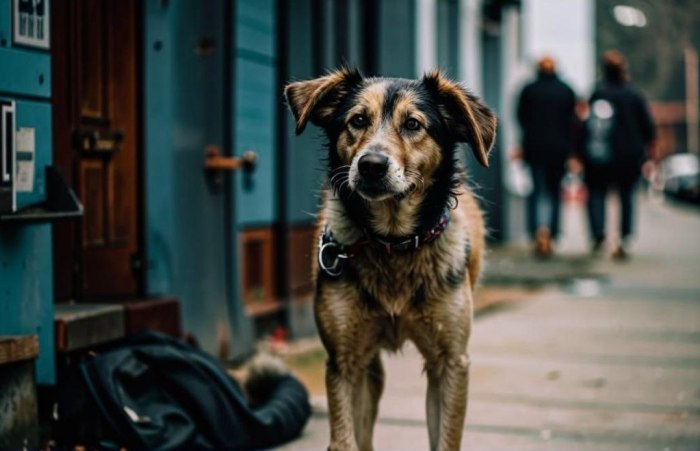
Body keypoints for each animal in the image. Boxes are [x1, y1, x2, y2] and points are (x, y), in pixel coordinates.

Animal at [284, 68, 498, 451]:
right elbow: (346, 439)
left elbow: (445, 439)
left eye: (413, 124)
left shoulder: (451, 362)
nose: (371, 165)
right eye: (357, 120)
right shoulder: (344, 362)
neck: (393, 243)